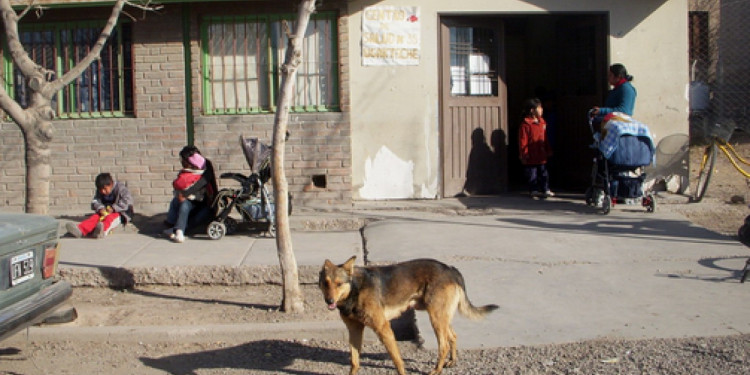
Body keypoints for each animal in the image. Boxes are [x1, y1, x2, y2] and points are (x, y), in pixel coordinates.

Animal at [318, 258, 500, 374]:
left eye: (339, 284)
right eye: (326, 283)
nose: (329, 301)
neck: (355, 289)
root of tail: (450, 268)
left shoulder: (384, 328)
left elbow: (397, 360)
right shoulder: (354, 330)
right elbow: (354, 361)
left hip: (436, 319)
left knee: (444, 346)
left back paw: (436, 370)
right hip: (442, 317)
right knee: (453, 337)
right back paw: (452, 361)